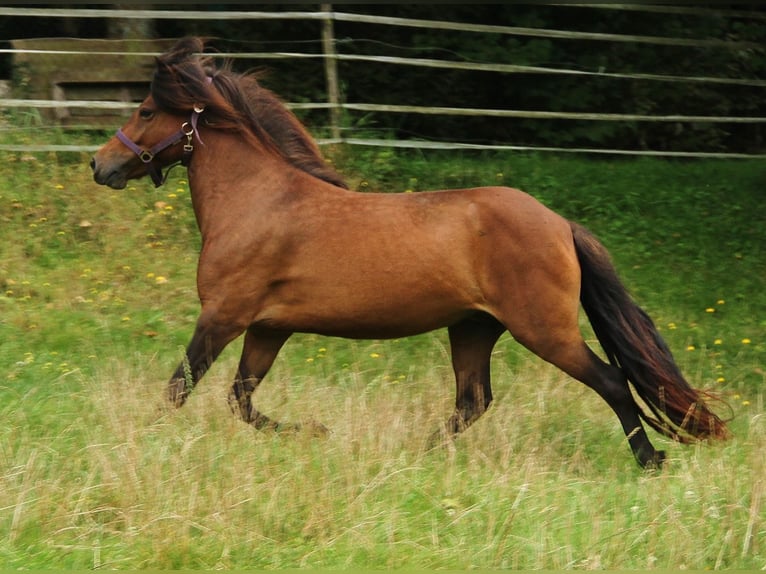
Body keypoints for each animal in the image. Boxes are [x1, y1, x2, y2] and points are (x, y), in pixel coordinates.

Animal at [90, 37, 728, 468]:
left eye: (146, 111)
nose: (101, 165)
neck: (258, 201)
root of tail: (561, 225)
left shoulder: (223, 317)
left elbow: (180, 389)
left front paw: (140, 441)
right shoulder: (269, 328)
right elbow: (239, 400)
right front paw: (316, 432)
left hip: (544, 331)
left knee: (611, 382)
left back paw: (651, 462)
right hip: (473, 328)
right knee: (474, 401)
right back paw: (413, 454)